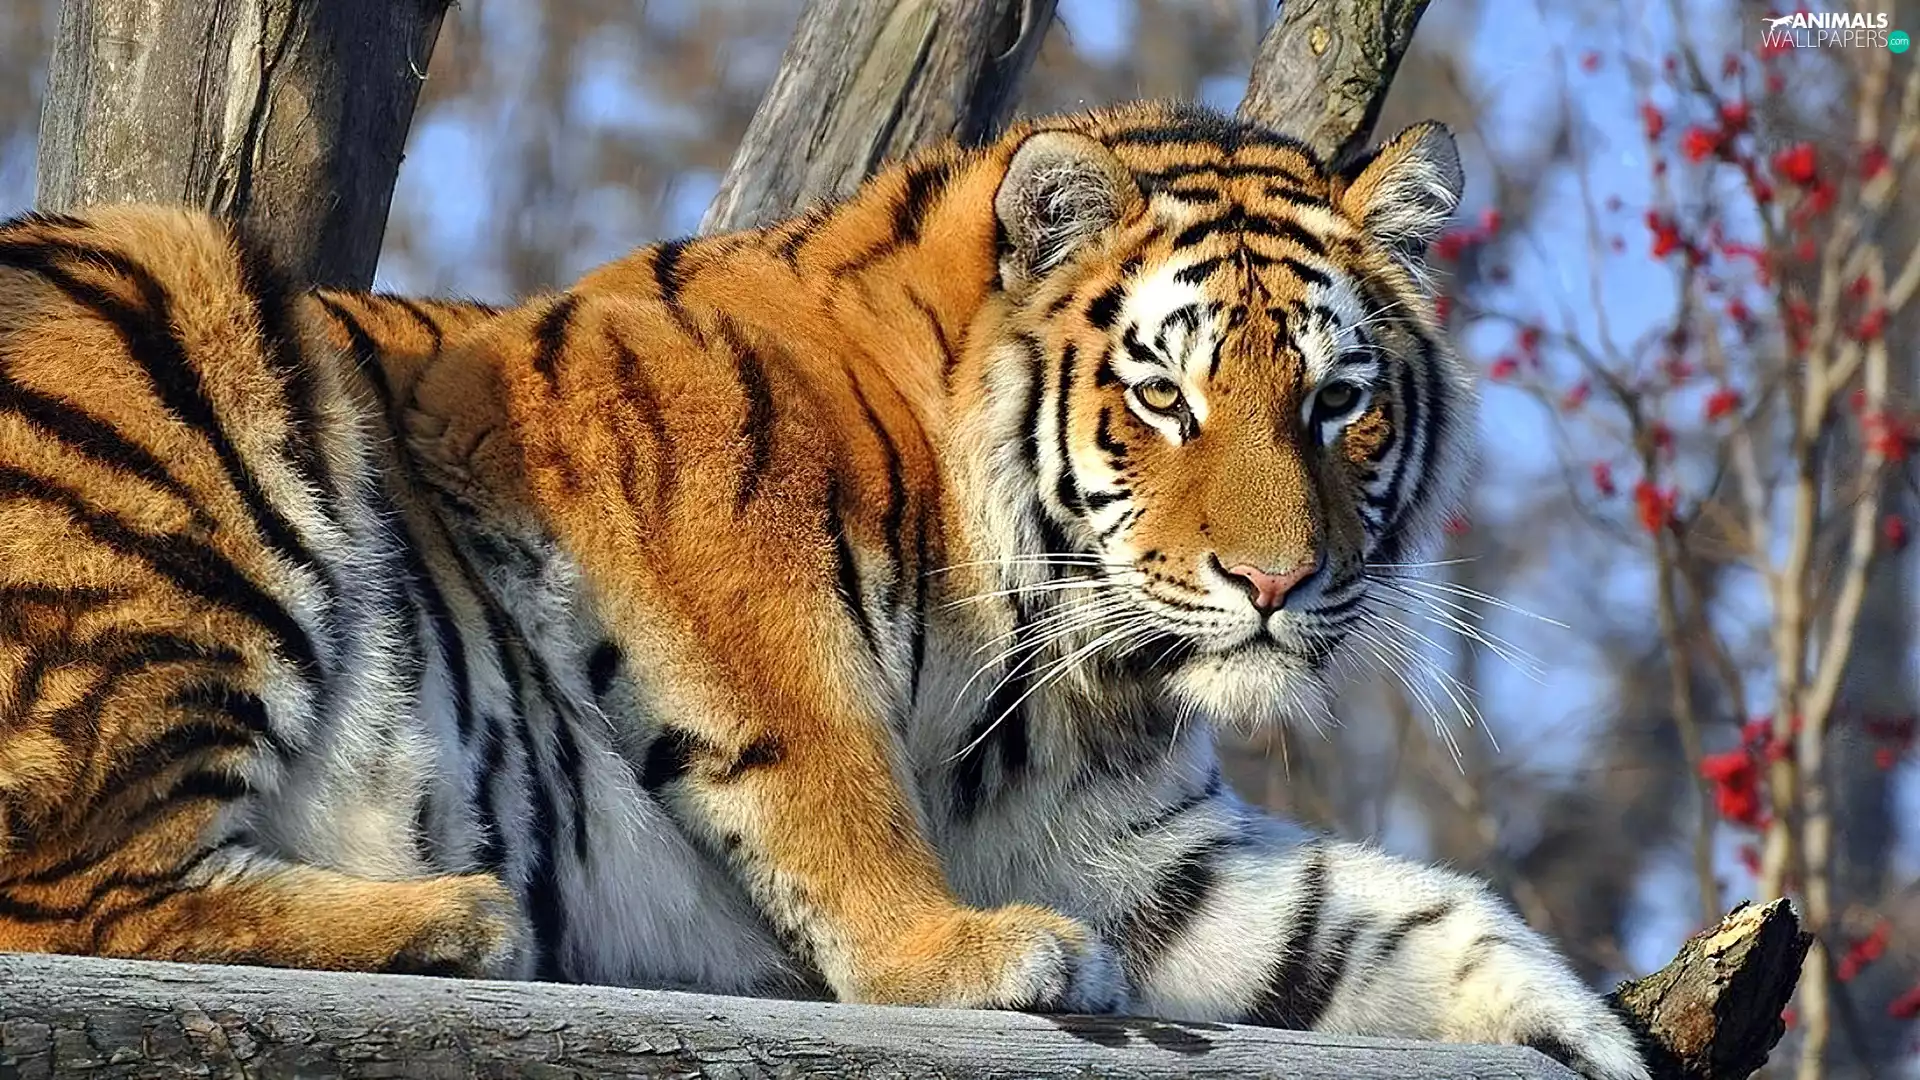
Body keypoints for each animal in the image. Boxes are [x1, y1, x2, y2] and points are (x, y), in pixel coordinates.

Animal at [0, 101, 1647, 1079]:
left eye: (1335, 404)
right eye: (1165, 397)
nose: (1274, 578)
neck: (1058, 666)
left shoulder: (1134, 847)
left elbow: (1384, 918)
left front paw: (1589, 1036)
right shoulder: (679, 502)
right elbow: (823, 770)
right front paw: (954, 956)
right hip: (169, 307)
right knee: (61, 889)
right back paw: (454, 919)